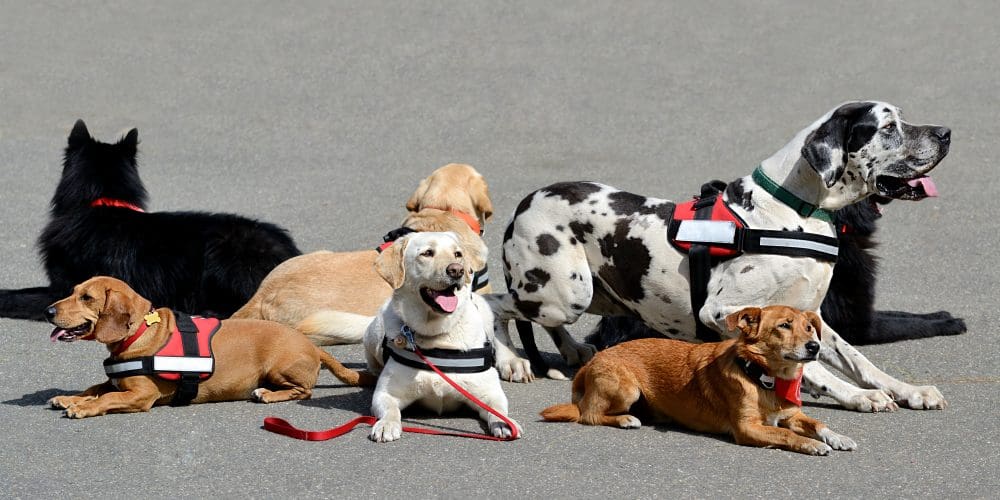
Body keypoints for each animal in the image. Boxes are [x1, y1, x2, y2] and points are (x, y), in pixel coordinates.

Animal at [44, 278, 372, 418]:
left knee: (303, 391)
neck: (139, 333)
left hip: (279, 369)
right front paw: (70, 398)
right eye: (73, 292)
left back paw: (267, 394)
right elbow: (95, 388)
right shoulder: (115, 382)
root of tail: (311, 345)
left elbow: (107, 398)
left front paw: (83, 408)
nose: (47, 311)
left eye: (87, 298)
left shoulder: (141, 396)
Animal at [544, 304, 856, 458]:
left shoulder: (792, 414)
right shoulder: (748, 428)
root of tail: (591, 363)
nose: (815, 347)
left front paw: (838, 437)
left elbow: (818, 423)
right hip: (627, 389)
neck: (762, 377)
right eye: (784, 326)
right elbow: (786, 435)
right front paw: (811, 445)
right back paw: (625, 419)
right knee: (589, 415)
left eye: (809, 327)